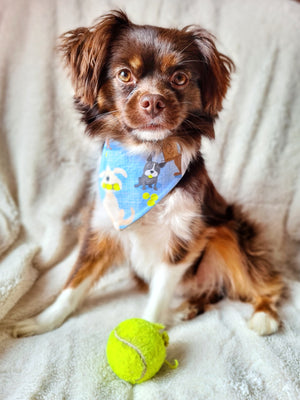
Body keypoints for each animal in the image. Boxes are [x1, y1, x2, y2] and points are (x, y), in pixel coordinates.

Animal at [12, 10, 284, 338]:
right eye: (124, 75)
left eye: (180, 78)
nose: (153, 101)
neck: (144, 154)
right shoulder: (102, 228)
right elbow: (74, 283)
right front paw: (43, 321)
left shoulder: (182, 238)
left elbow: (158, 295)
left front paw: (149, 332)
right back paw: (184, 310)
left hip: (229, 232)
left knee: (266, 284)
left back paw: (263, 315)